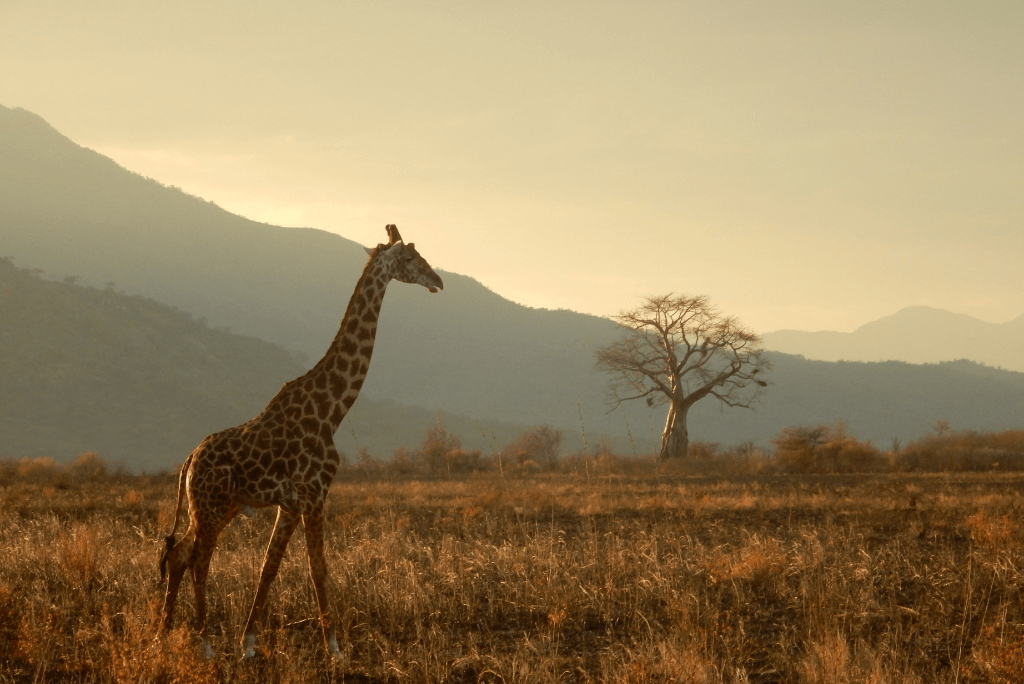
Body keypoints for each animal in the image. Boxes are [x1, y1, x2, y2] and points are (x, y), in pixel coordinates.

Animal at [156, 223, 440, 655]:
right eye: (410, 257)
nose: (437, 280)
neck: (332, 411)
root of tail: (189, 460)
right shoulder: (313, 493)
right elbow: (318, 567)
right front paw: (334, 647)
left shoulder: (289, 504)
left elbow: (269, 568)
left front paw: (248, 643)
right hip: (210, 505)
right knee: (199, 560)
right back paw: (202, 641)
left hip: (216, 507)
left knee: (179, 555)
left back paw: (160, 635)